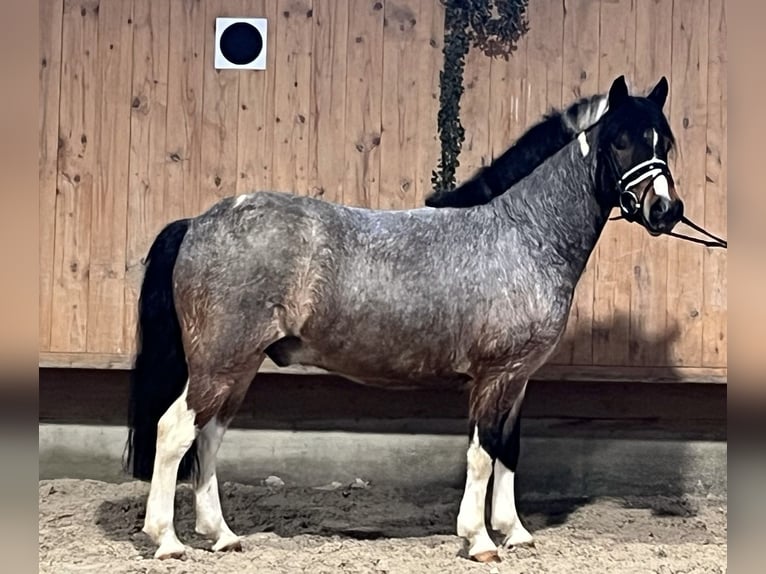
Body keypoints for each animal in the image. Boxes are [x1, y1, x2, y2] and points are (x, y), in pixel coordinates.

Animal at [124, 74, 684, 564]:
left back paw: (221, 535)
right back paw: (167, 541)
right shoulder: (494, 376)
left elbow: (508, 450)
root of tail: (195, 222)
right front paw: (479, 540)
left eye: (665, 142)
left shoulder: (518, 379)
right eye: (620, 141)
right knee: (174, 432)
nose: (665, 210)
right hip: (219, 362)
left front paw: (516, 533)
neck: (522, 232)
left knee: (209, 436)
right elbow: (482, 454)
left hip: (237, 368)